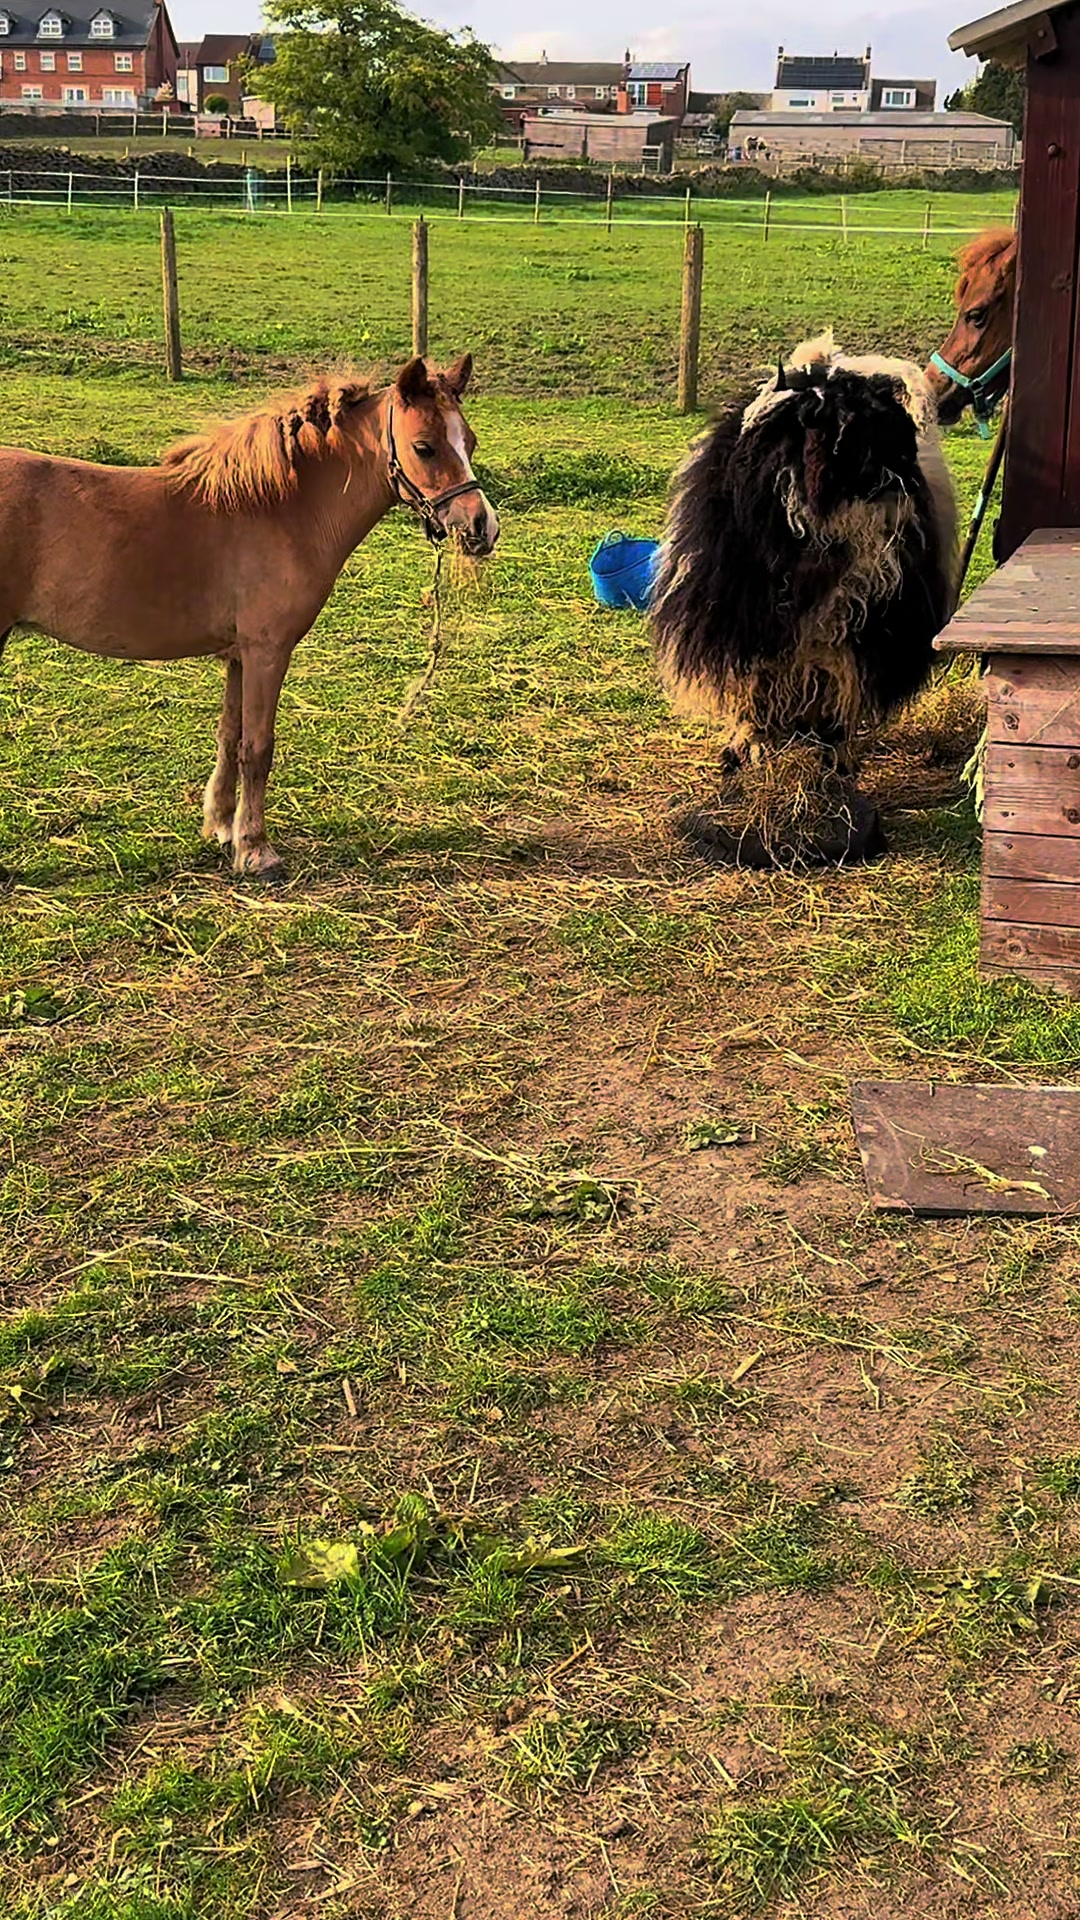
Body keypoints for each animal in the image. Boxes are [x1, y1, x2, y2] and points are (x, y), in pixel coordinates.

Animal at [0, 354, 498, 882]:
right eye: (424, 446)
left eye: (469, 442)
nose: (482, 527)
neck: (278, 509)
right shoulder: (267, 652)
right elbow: (258, 747)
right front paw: (255, 849)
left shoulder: (238, 656)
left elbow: (229, 736)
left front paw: (221, 825)